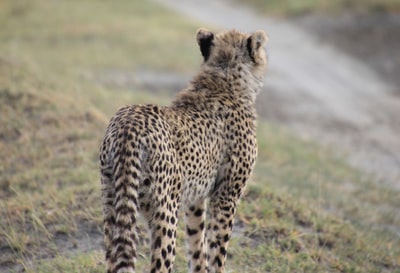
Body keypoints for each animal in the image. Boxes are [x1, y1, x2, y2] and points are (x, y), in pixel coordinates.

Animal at [99, 28, 268, 272]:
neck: (225, 78)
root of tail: (128, 122)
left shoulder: (196, 201)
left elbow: (198, 248)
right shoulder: (226, 197)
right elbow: (217, 252)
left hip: (112, 202)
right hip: (166, 211)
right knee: (161, 264)